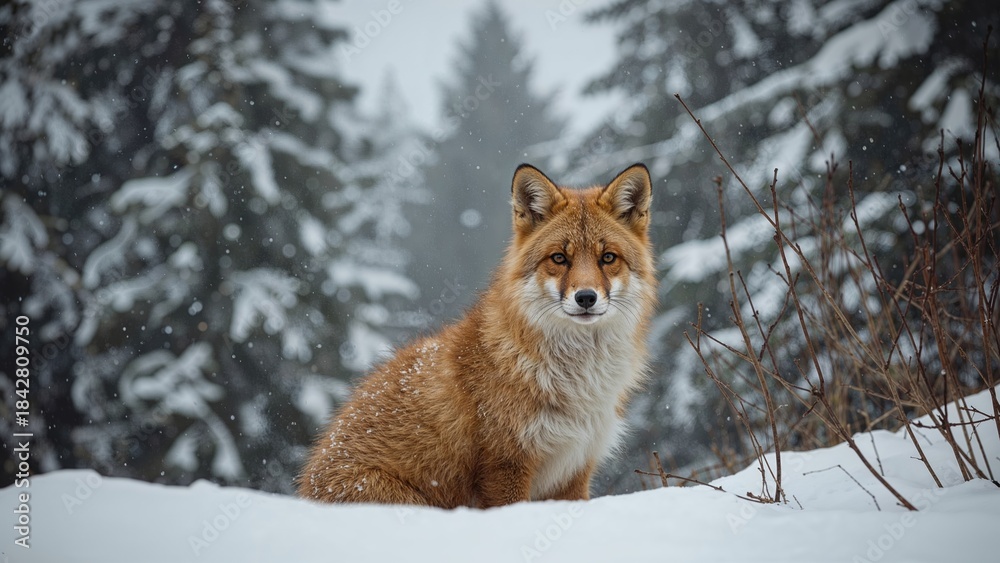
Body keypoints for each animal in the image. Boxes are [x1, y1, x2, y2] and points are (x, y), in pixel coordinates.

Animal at [298, 163, 657, 508]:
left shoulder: (575, 468)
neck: (577, 381)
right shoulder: (504, 464)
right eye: (559, 258)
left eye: (607, 258)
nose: (585, 298)